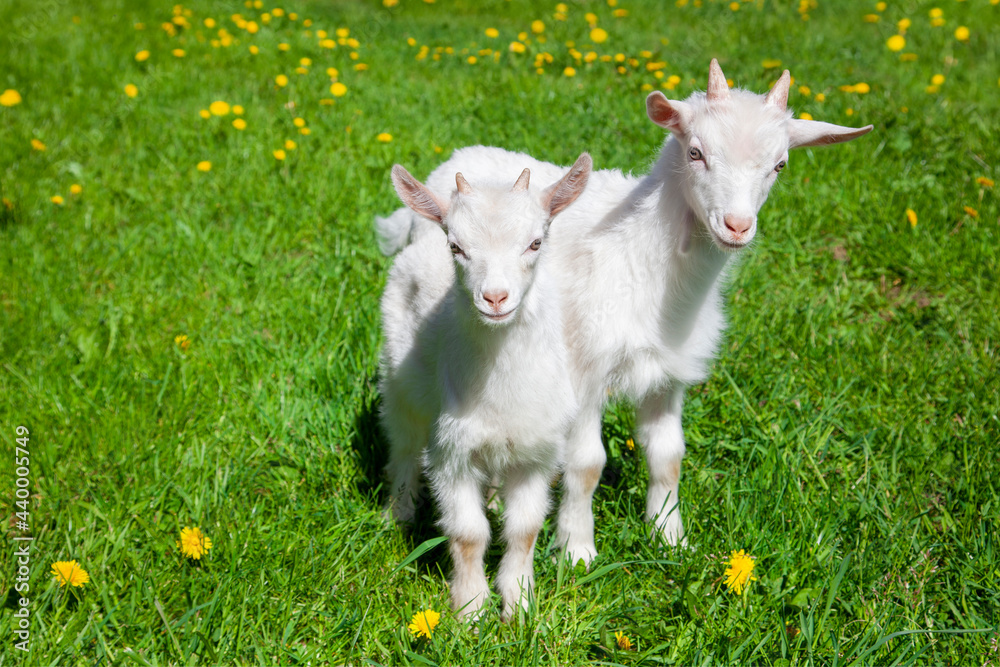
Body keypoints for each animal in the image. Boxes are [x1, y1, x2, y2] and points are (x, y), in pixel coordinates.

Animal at [377, 154, 592, 619]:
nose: (495, 298)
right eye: (456, 246)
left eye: (535, 243)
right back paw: (398, 511)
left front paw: (520, 605)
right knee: (403, 447)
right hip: (400, 385)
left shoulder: (536, 451)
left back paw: (492, 499)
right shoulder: (451, 453)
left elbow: (524, 529)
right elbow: (468, 533)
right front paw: (471, 609)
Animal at [420, 59, 873, 565]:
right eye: (695, 152)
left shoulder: (668, 374)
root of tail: (462, 154)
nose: (736, 226)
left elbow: (667, 455)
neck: (641, 263)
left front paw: (669, 535)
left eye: (779, 165)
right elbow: (586, 464)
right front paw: (577, 549)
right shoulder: (585, 370)